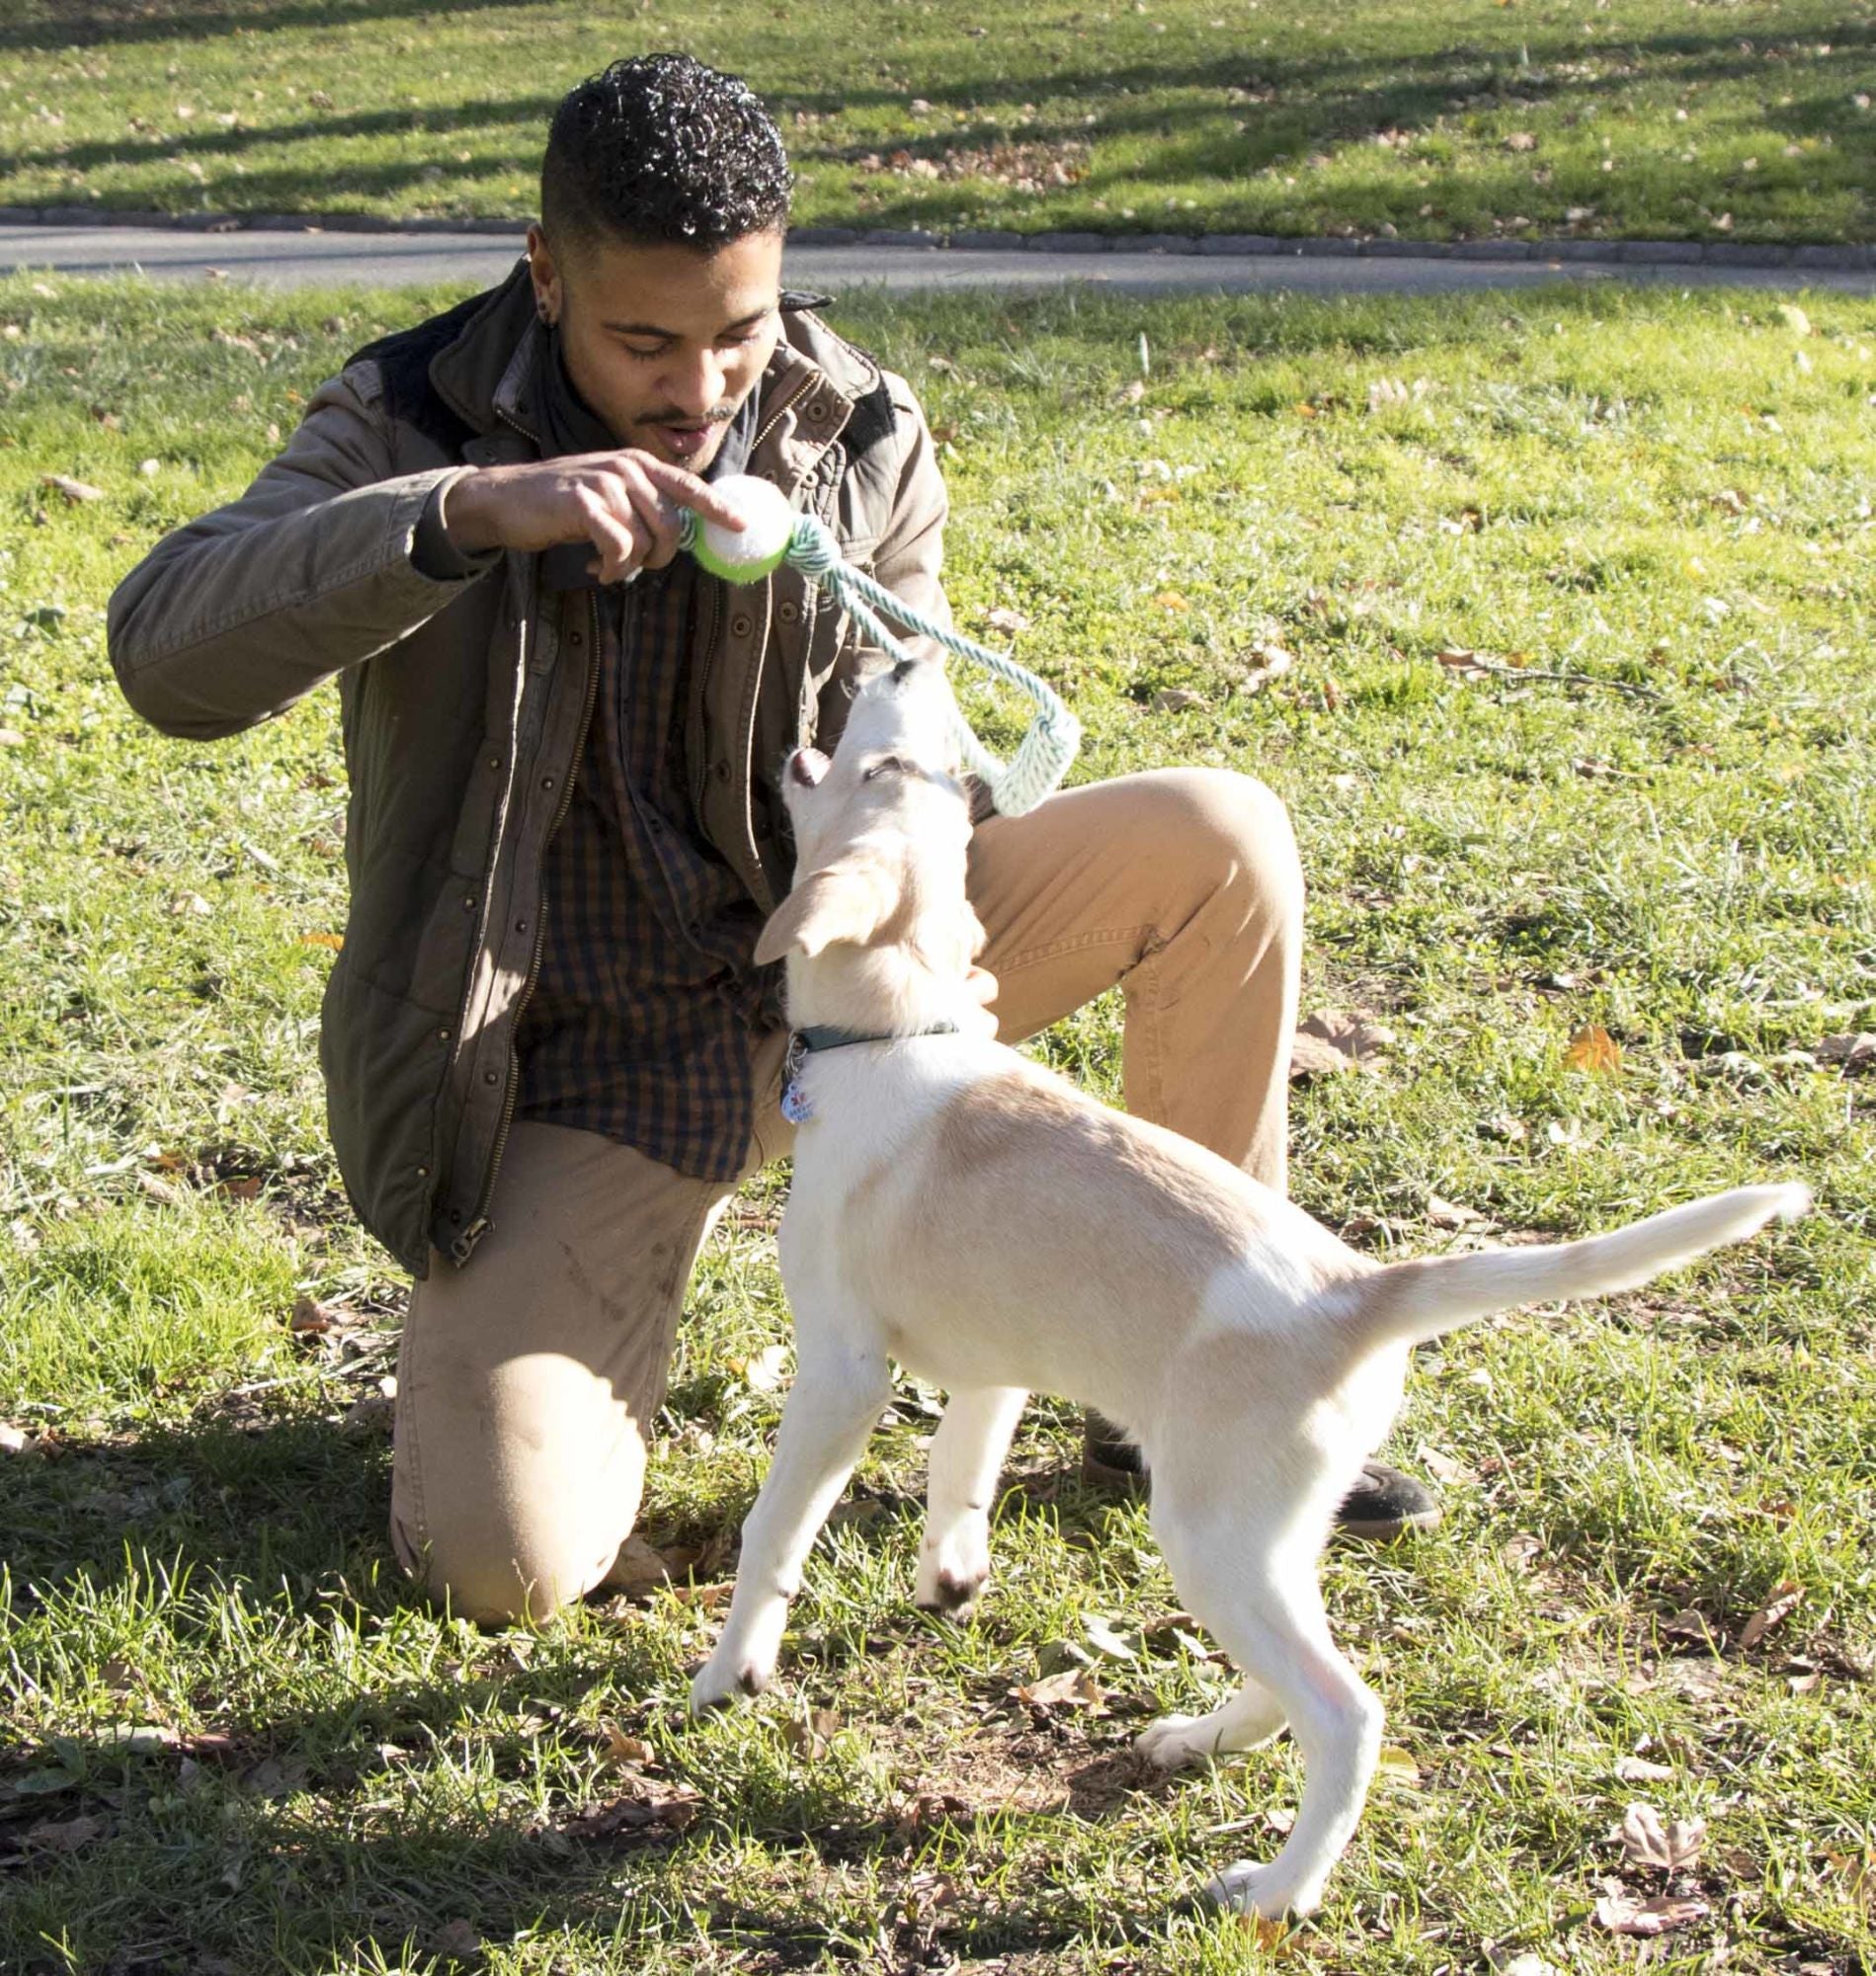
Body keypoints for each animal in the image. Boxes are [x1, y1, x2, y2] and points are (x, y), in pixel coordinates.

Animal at [698, 656, 1817, 1921]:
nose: (902, 660)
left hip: (1213, 1534)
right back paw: (1195, 1738)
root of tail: (1362, 1290)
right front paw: (950, 1576)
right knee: (1291, 1683)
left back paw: (1278, 1888)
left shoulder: (840, 1369)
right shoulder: (996, 1363)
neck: (898, 1033)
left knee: (1346, 1709)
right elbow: (958, 1467)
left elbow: (773, 1529)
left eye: (895, 765)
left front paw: (729, 1672)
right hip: (1273, 1533)